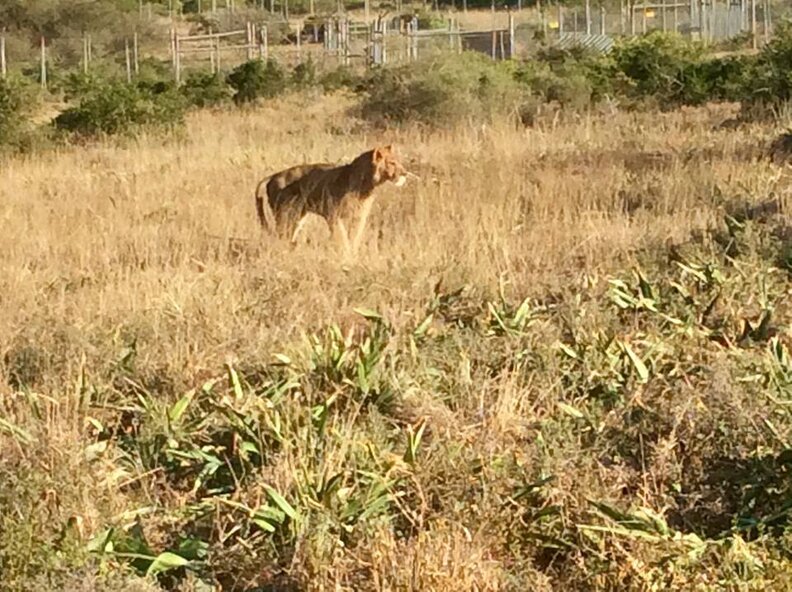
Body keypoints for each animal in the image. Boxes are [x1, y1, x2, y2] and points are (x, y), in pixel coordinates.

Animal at [257, 145, 408, 254]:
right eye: (392, 163)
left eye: (398, 162)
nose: (405, 173)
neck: (366, 185)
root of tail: (273, 175)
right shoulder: (333, 215)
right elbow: (342, 236)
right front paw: (345, 254)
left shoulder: (359, 217)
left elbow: (355, 237)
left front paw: (353, 255)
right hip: (285, 214)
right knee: (280, 235)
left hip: (297, 217)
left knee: (288, 236)